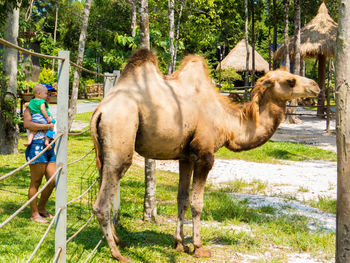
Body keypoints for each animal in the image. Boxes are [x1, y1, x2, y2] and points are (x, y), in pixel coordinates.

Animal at [89, 49, 320, 262]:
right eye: (291, 81)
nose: (315, 86)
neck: (228, 123)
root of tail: (100, 110)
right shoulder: (205, 155)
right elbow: (197, 203)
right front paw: (199, 248)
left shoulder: (186, 157)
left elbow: (181, 199)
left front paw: (179, 244)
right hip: (121, 130)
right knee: (102, 201)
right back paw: (117, 253)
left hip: (104, 151)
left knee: (103, 182)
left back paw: (119, 241)